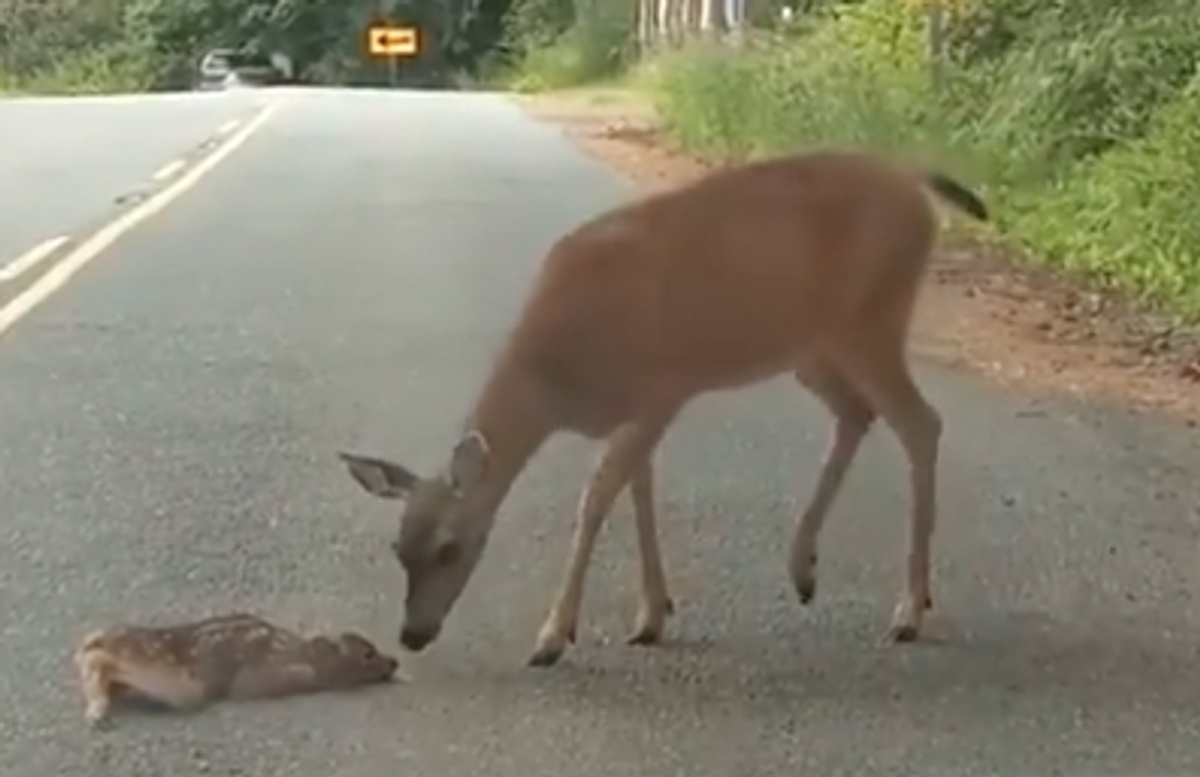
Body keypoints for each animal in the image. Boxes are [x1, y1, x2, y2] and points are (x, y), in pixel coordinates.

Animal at [338, 147, 984, 666]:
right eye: (398, 547)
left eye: (449, 547)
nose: (412, 636)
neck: (555, 380)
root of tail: (913, 183)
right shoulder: (634, 411)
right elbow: (638, 491)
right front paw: (651, 616)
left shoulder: (661, 389)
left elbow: (597, 497)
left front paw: (553, 636)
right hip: (811, 347)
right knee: (858, 413)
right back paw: (805, 570)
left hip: (869, 321)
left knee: (921, 423)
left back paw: (908, 611)